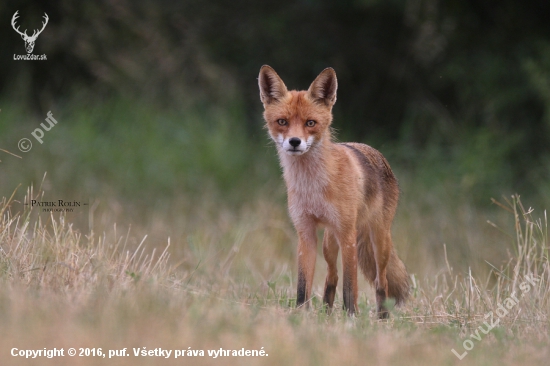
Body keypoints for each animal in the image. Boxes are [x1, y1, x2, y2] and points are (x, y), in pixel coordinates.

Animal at [258, 64, 410, 316]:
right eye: (282, 121)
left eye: (310, 123)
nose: (295, 142)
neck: (313, 187)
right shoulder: (305, 233)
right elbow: (303, 285)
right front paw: (301, 314)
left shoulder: (347, 235)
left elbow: (350, 287)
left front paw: (351, 317)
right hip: (329, 244)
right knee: (332, 277)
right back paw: (327, 312)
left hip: (378, 241)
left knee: (382, 282)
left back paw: (383, 317)